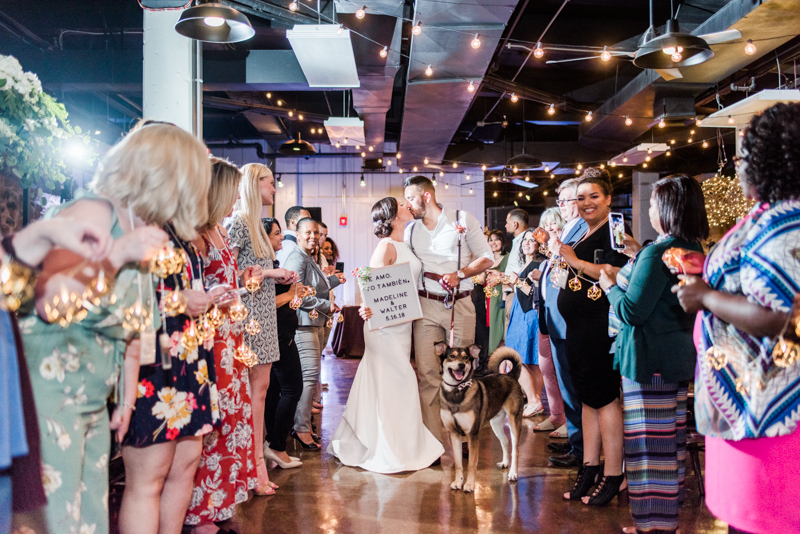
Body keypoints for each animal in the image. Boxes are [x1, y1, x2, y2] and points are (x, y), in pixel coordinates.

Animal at [438, 344, 524, 494]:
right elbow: (458, 463)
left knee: (515, 449)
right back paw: (505, 463)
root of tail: (510, 375)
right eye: (452, 356)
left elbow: (472, 464)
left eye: (466, 357)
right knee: (505, 441)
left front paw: (469, 485)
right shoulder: (453, 434)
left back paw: (513, 473)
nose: (461, 365)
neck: (457, 391)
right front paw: (458, 482)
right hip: (495, 423)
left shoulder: (472, 434)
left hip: (514, 421)